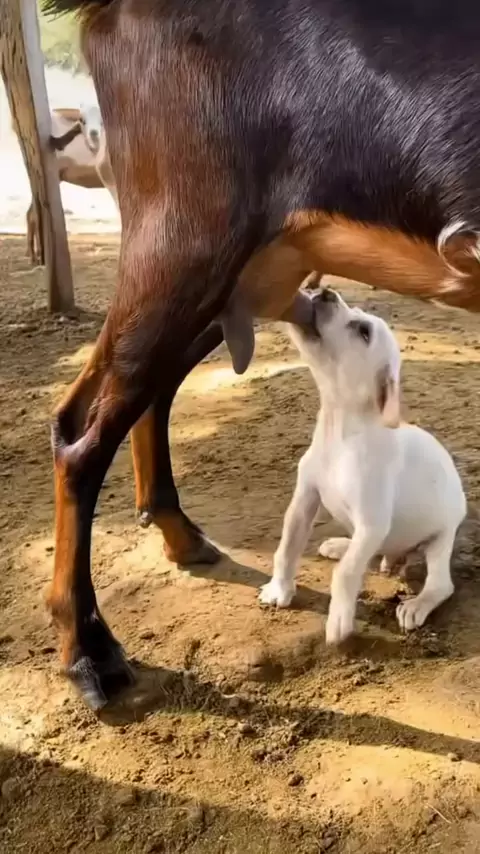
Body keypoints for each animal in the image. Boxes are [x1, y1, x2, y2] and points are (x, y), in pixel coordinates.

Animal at [259, 287, 466, 644]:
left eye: (363, 331)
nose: (325, 291)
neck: (340, 432)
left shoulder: (372, 522)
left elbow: (346, 574)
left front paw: (339, 621)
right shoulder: (304, 499)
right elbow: (287, 547)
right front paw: (280, 589)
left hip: (441, 538)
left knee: (440, 584)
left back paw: (417, 604)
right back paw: (340, 545)